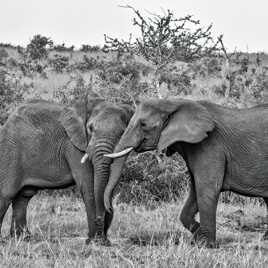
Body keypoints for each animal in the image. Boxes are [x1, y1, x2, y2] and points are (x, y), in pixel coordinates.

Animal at [0, 96, 133, 245]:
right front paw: (94, 242)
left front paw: (101, 242)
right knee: (6, 194)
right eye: (90, 128)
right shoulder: (74, 146)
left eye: (122, 132)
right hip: (10, 153)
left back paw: (23, 239)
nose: (102, 236)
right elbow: (88, 185)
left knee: (23, 196)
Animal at [104, 97, 268, 247]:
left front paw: (206, 244)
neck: (175, 103)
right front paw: (196, 236)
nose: (110, 209)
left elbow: (207, 189)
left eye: (143, 124)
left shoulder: (210, 146)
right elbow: (195, 191)